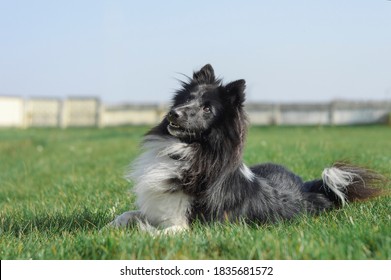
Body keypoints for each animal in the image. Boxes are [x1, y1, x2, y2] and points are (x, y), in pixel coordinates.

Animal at [109, 64, 386, 233]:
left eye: (207, 109)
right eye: (187, 99)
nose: (173, 114)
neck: (189, 151)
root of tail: (310, 187)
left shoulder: (193, 225)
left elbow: (161, 231)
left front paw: (141, 235)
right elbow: (127, 214)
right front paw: (107, 229)